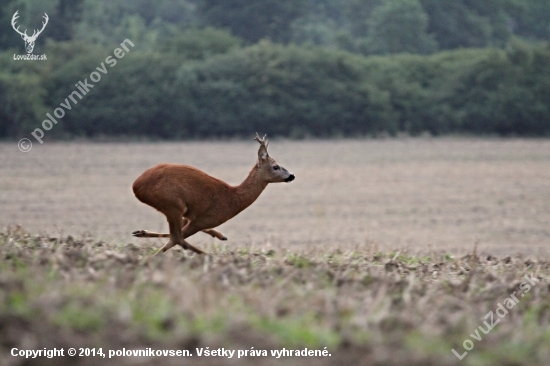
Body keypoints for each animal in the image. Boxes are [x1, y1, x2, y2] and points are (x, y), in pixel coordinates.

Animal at [132, 133, 296, 256]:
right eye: (275, 166)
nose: (291, 176)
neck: (233, 199)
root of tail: (136, 185)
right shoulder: (204, 219)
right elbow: (177, 236)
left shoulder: (191, 216)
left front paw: (141, 232)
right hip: (173, 203)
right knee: (177, 238)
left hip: (174, 207)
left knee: (175, 236)